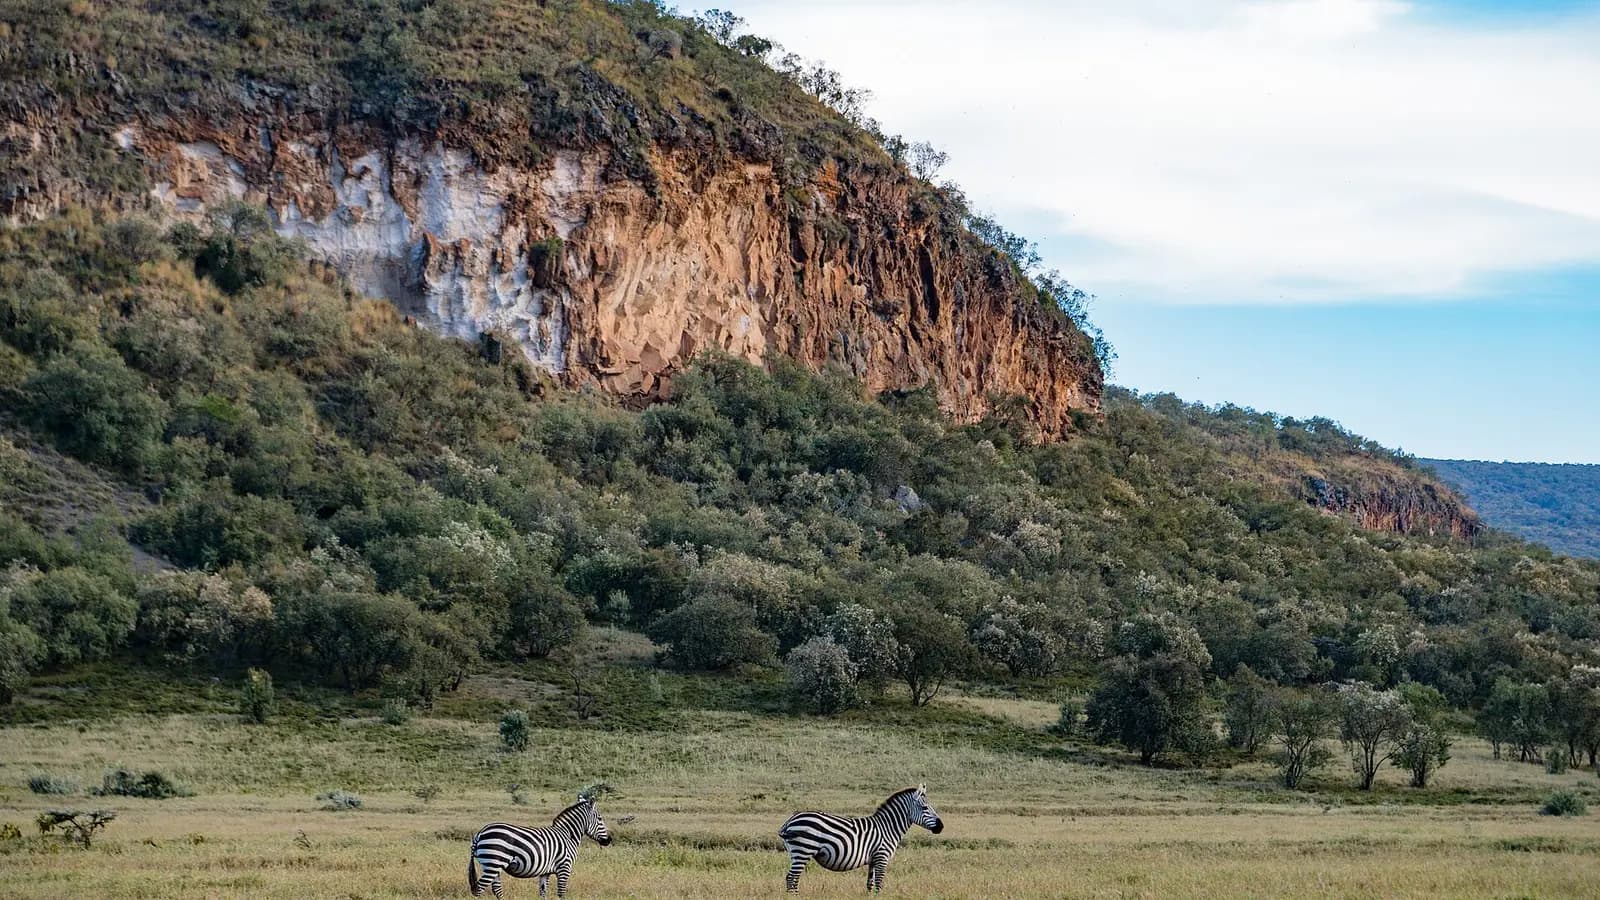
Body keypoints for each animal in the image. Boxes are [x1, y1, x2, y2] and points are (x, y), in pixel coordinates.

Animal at [468, 797, 612, 899]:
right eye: (600, 818)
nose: (609, 840)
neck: (568, 835)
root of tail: (480, 833)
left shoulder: (545, 872)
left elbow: (543, 892)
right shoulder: (564, 867)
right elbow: (561, 893)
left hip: (493, 866)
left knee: (496, 890)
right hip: (493, 863)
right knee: (478, 889)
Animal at [778, 784, 945, 893]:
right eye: (925, 808)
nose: (941, 827)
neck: (887, 828)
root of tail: (790, 820)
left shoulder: (873, 860)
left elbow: (870, 885)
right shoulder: (882, 857)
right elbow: (879, 885)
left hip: (796, 853)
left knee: (792, 879)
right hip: (803, 850)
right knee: (791, 878)